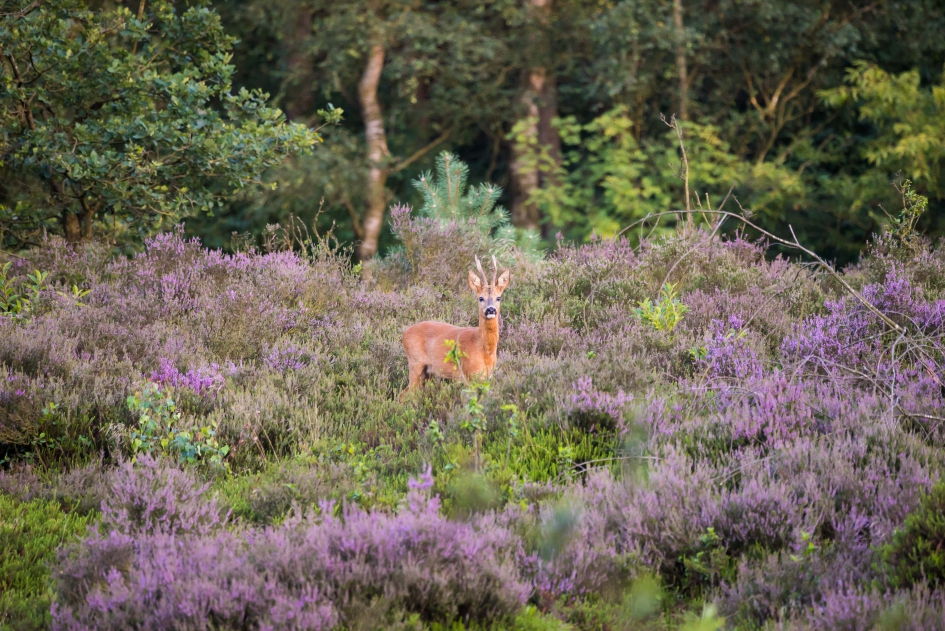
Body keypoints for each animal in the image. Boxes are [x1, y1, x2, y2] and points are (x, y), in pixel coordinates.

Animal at [402, 254, 512, 392]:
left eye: (499, 297)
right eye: (480, 298)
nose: (490, 310)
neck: (484, 348)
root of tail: (404, 334)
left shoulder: (486, 377)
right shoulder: (470, 374)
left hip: (428, 372)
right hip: (415, 362)